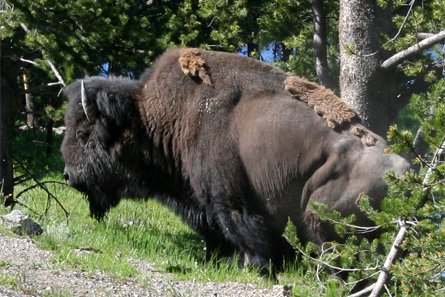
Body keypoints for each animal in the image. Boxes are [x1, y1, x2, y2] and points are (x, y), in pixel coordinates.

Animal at [59, 46, 410, 276]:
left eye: (84, 133)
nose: (68, 175)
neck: (152, 118)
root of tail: (407, 173)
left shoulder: (227, 199)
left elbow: (244, 232)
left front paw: (252, 268)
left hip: (318, 214)